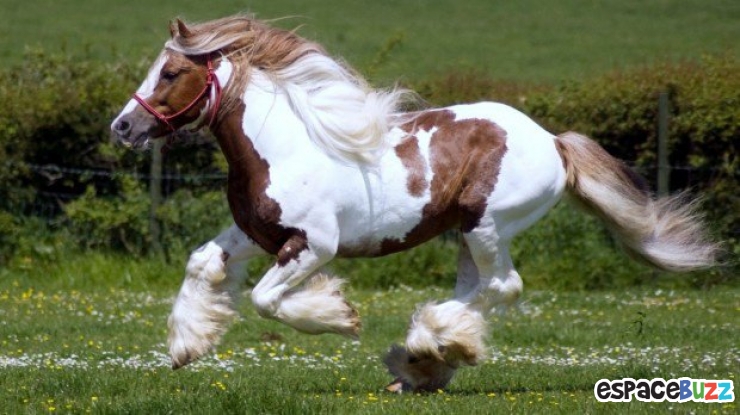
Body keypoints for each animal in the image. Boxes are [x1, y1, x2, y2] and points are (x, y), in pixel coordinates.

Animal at [110, 15, 718, 392]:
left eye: (171, 72)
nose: (123, 127)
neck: (283, 146)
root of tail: (553, 142)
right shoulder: (253, 234)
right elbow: (201, 264)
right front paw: (186, 346)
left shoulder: (314, 245)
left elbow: (265, 300)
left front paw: (340, 316)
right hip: (469, 235)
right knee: (480, 289)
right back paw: (425, 362)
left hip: (486, 225)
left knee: (503, 286)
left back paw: (427, 348)